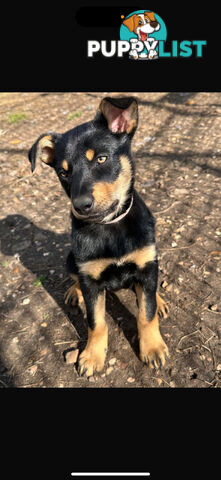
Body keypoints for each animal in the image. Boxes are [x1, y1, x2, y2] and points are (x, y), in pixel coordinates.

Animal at [28, 95, 169, 376]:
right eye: (63, 172)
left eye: (102, 159)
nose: (81, 206)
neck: (110, 227)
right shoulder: (91, 279)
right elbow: (96, 323)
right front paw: (92, 356)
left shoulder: (145, 263)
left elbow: (145, 314)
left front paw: (152, 348)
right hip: (71, 259)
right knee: (75, 279)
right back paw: (74, 292)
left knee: (149, 290)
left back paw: (158, 300)